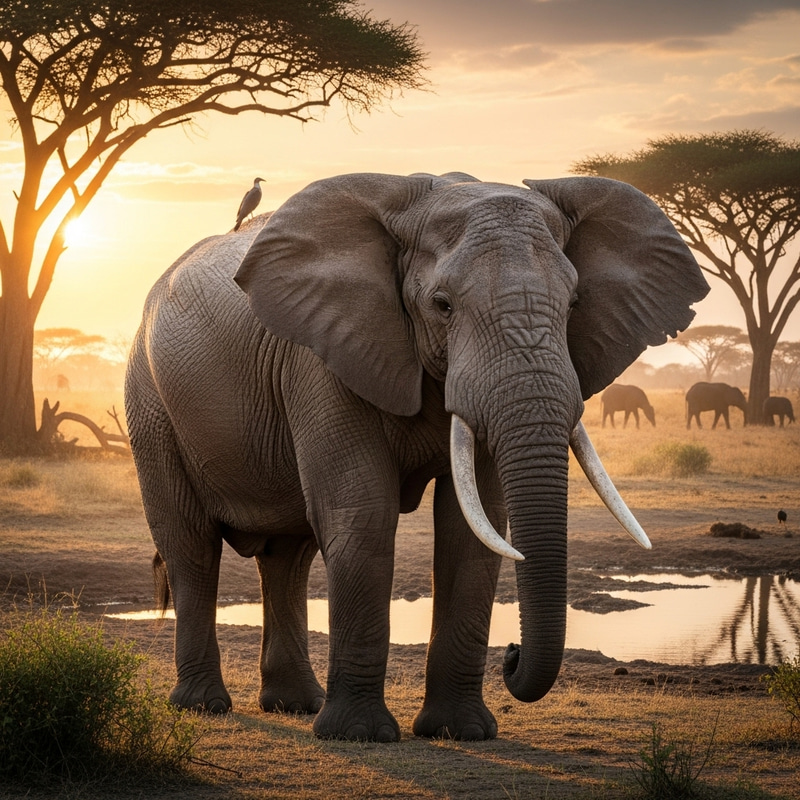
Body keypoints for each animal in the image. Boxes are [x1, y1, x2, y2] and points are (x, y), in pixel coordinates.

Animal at [125, 171, 708, 742]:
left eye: (573, 306)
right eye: (442, 305)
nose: (511, 655)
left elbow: (473, 527)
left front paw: (461, 732)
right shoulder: (323, 357)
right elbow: (363, 514)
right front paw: (358, 736)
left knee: (288, 557)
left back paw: (294, 705)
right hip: (150, 403)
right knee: (191, 546)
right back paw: (204, 707)